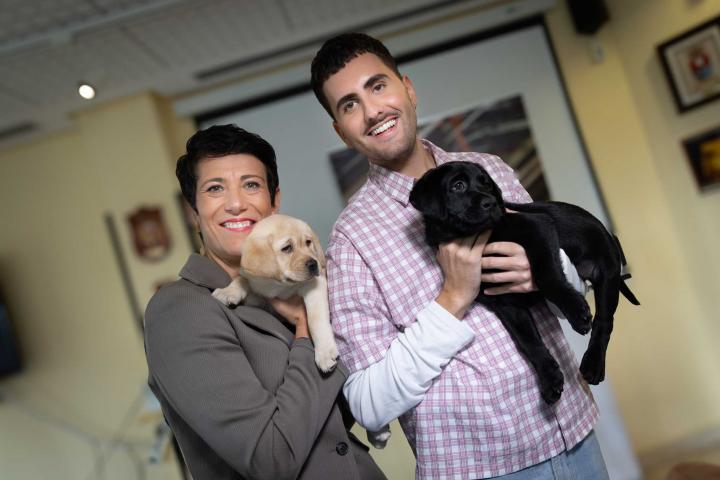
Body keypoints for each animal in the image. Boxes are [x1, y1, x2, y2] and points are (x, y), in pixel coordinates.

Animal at [211, 214, 339, 373]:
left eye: (308, 242)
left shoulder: (315, 284)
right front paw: (228, 291)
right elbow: (242, 279)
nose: (314, 264)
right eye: (287, 248)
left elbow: (315, 319)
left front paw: (324, 352)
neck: (279, 285)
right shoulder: (259, 294)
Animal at [409, 161, 639, 404]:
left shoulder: (537, 228)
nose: (491, 203)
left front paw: (575, 309)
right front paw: (549, 378)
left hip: (607, 272)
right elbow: (529, 341)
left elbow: (545, 275)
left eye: (486, 184)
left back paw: (593, 364)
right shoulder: (506, 304)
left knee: (605, 321)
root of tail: (608, 233)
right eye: (458, 186)